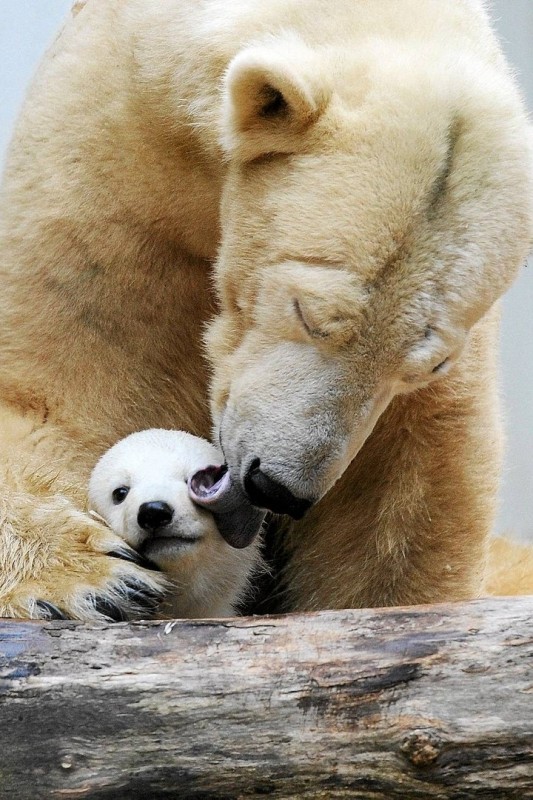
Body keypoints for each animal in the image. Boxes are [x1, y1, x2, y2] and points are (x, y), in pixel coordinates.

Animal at [0, 0, 528, 620]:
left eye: (425, 365)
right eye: (309, 314)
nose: (276, 487)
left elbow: (409, 486)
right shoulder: (114, 166)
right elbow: (60, 386)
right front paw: (91, 580)